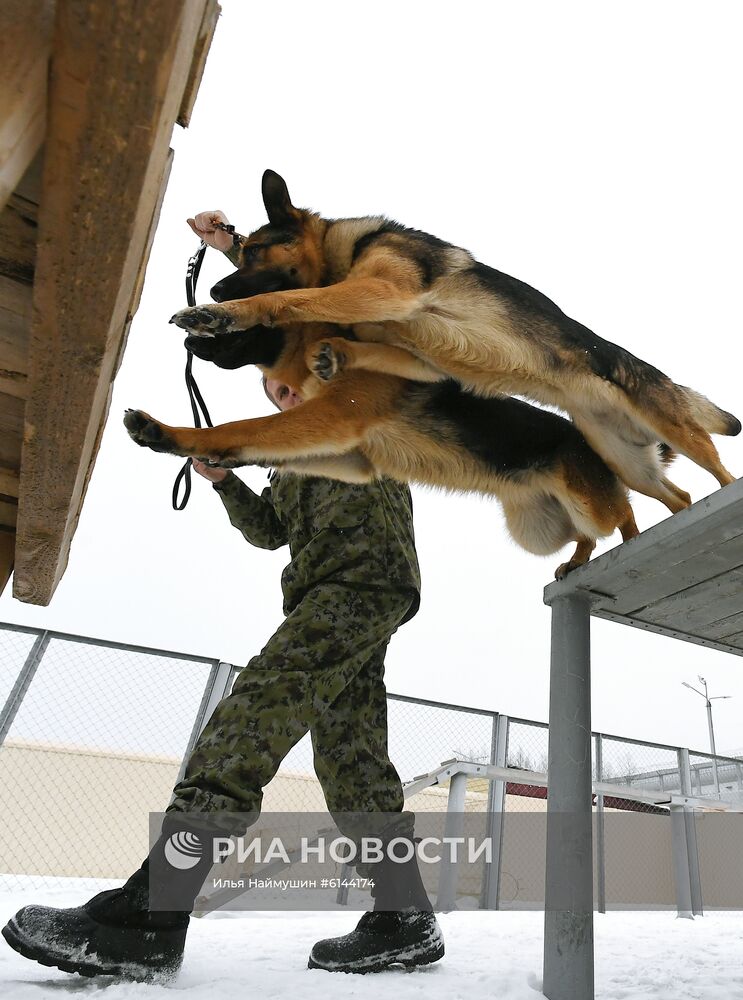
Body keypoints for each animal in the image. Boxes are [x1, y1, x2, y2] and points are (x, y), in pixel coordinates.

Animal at [123, 298, 640, 580]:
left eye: (235, 314)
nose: (187, 332)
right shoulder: (352, 457)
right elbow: (263, 446)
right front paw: (207, 456)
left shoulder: (332, 418)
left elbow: (243, 427)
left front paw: (173, 433)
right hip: (534, 527)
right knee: (587, 535)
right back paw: (578, 560)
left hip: (583, 499)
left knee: (622, 515)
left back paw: (634, 540)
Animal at [167, 171, 740, 512]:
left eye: (253, 254)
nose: (213, 288)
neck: (346, 253)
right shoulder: (412, 348)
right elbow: (359, 338)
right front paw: (334, 353)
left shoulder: (384, 292)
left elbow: (294, 296)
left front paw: (218, 315)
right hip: (623, 458)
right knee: (676, 494)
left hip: (673, 428)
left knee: (718, 471)